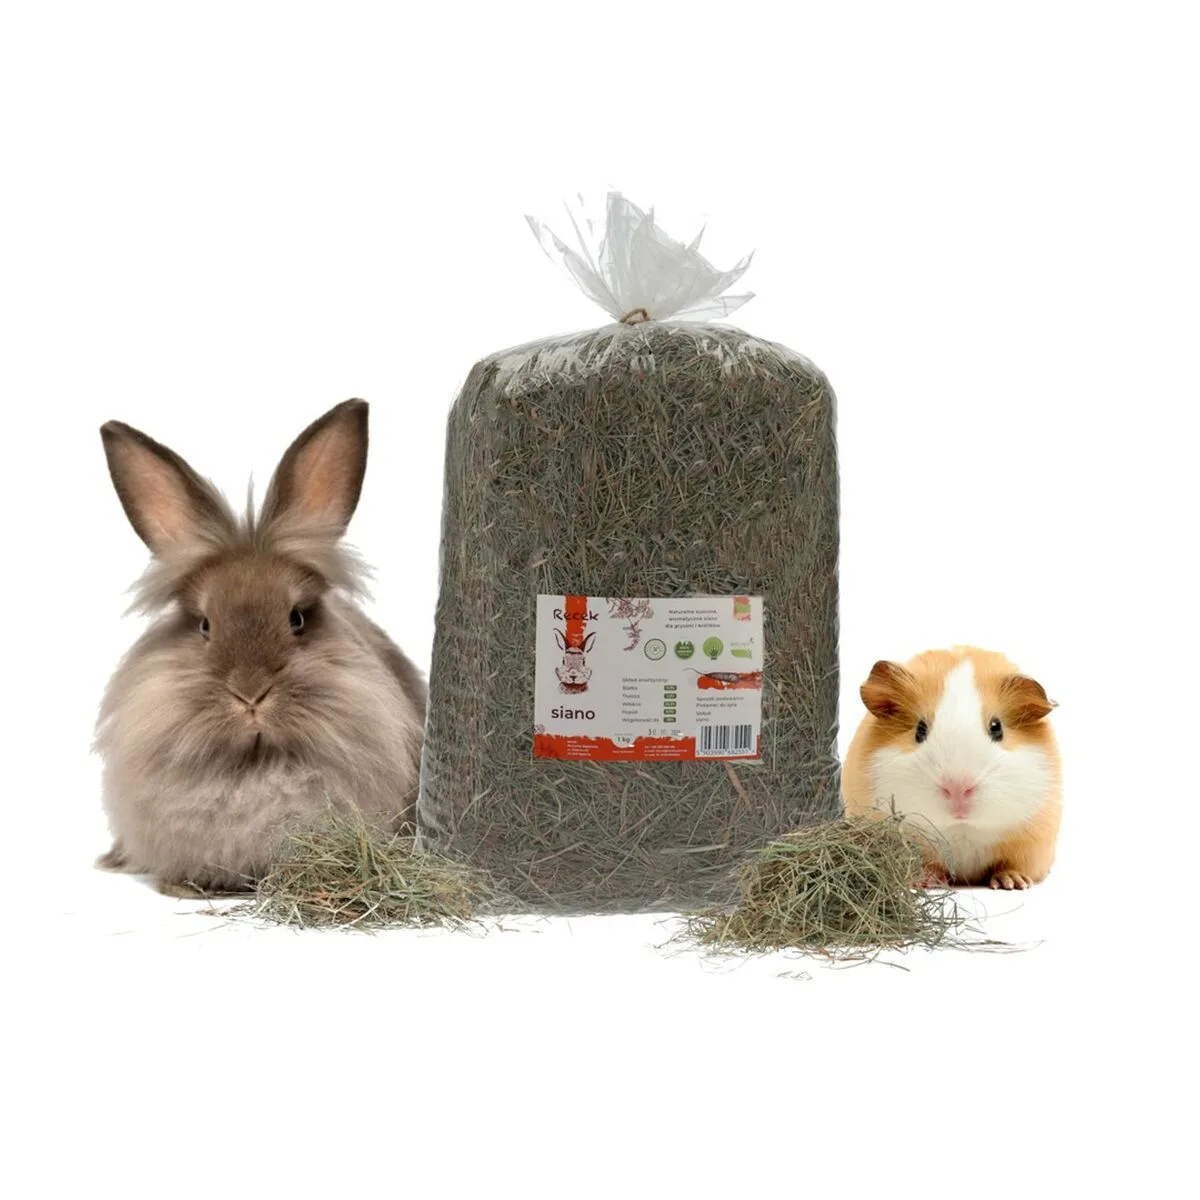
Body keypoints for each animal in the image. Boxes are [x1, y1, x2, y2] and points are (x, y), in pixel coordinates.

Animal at [841, 646, 1061, 889]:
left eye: (997, 728)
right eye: (920, 730)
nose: (958, 788)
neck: (961, 829)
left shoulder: (1031, 843)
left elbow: (1010, 865)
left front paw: (1013, 883)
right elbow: (928, 863)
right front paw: (925, 881)